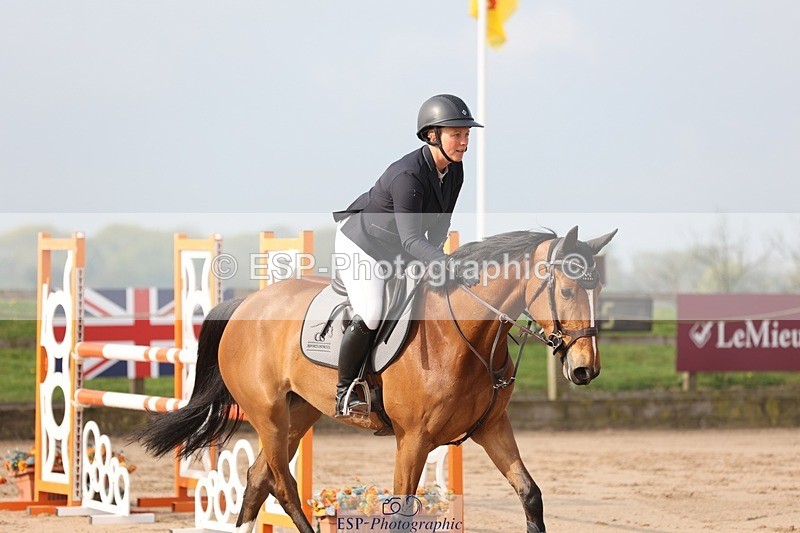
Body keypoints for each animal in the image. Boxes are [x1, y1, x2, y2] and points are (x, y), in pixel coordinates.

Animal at [136, 225, 617, 533]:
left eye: (598, 291)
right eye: (568, 290)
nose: (585, 369)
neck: (465, 334)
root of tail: (246, 304)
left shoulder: (492, 428)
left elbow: (530, 494)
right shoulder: (414, 439)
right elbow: (402, 513)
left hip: (300, 412)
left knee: (257, 480)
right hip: (267, 413)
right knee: (282, 486)